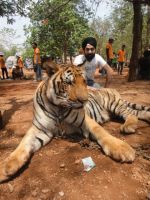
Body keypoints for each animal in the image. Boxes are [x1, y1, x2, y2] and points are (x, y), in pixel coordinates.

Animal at [0, 63, 150, 183]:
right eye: (69, 83)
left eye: (84, 82)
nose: (84, 100)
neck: (58, 108)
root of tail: (109, 89)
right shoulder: (40, 129)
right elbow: (23, 143)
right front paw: (6, 166)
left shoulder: (85, 120)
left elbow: (101, 132)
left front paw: (122, 149)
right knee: (138, 113)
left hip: (114, 104)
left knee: (130, 114)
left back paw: (128, 126)